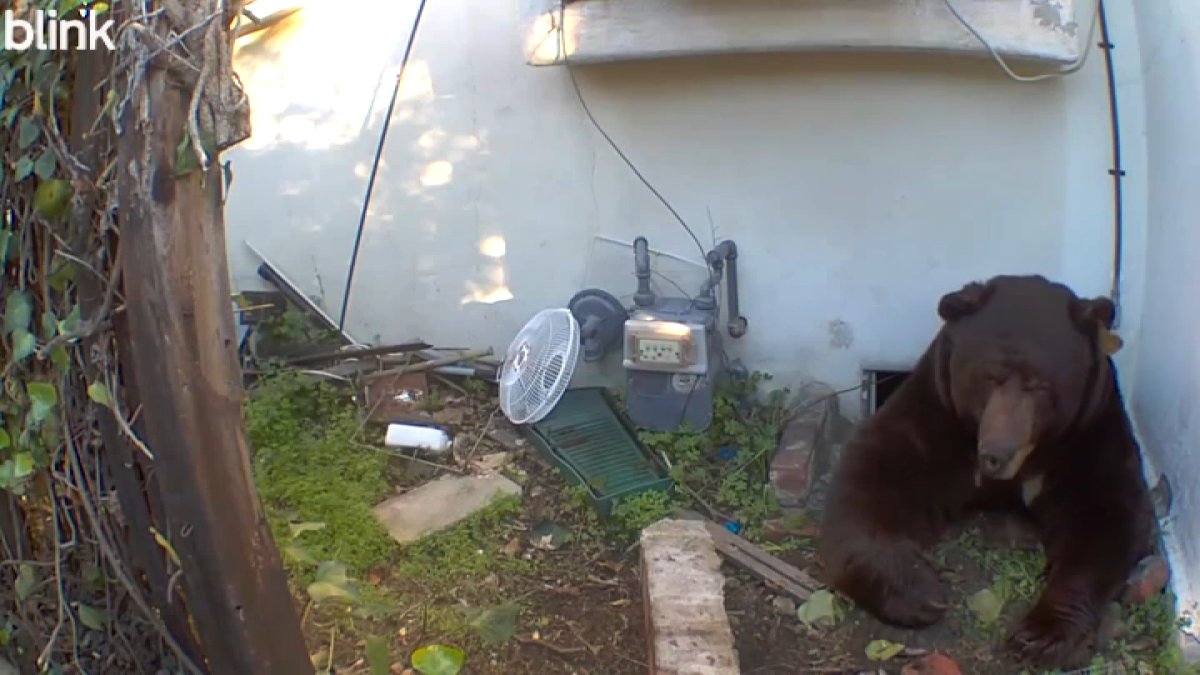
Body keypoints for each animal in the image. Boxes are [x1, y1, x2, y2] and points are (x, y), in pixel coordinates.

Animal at [816, 274, 1157, 670]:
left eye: (1041, 385)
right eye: (990, 377)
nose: (996, 455)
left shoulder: (1089, 434)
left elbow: (1107, 517)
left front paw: (1040, 635)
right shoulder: (934, 415)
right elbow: (871, 478)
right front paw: (919, 592)